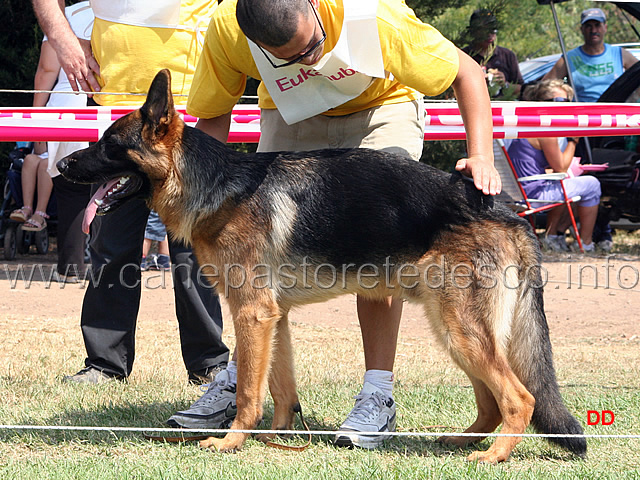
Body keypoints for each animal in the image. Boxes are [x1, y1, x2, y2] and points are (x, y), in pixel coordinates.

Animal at [57, 70, 588, 462]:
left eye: (109, 145)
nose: (62, 167)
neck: (217, 184)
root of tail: (504, 211)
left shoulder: (252, 314)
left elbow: (249, 392)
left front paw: (232, 441)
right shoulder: (273, 319)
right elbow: (279, 387)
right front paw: (274, 438)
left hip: (462, 331)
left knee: (520, 398)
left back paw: (493, 456)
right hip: (454, 331)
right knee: (492, 400)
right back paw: (462, 441)